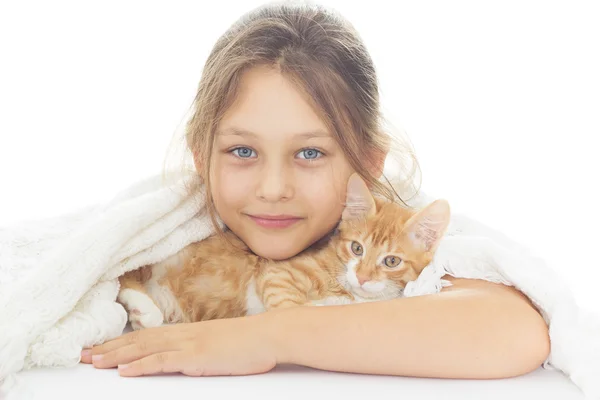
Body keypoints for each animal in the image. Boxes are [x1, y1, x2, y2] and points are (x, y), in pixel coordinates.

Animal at [117, 173, 450, 330]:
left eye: (391, 261)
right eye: (357, 248)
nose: (364, 278)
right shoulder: (279, 272)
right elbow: (291, 311)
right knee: (124, 276)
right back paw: (142, 308)